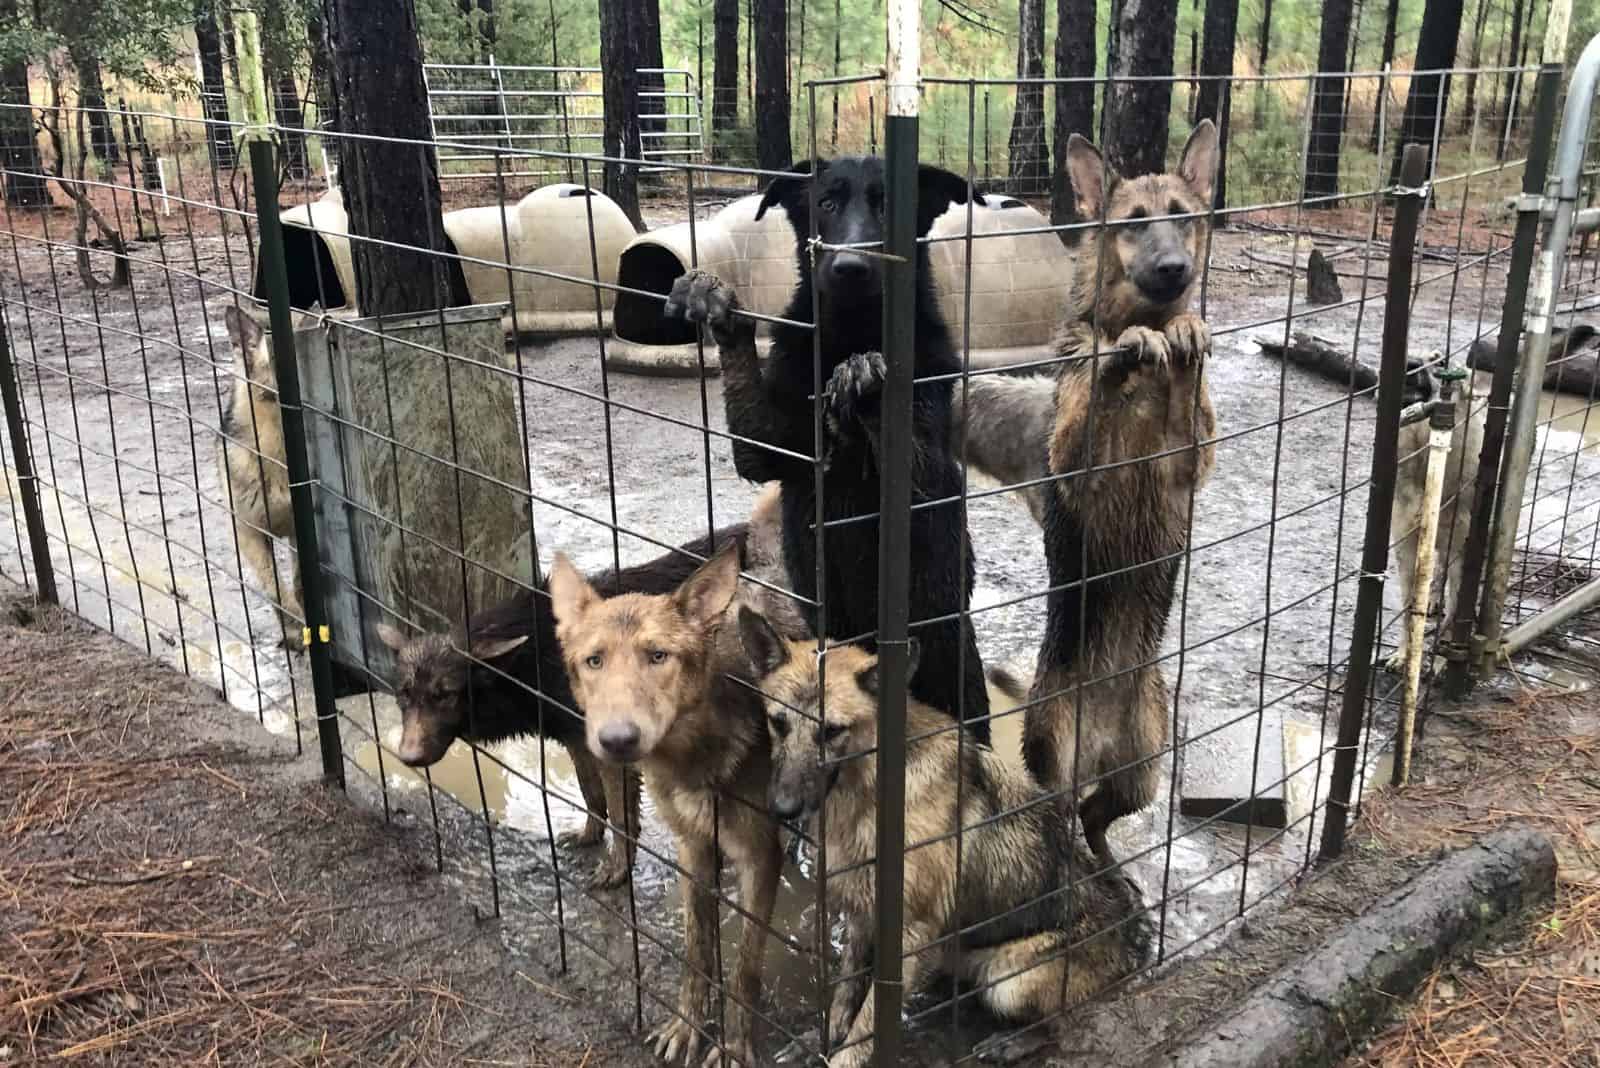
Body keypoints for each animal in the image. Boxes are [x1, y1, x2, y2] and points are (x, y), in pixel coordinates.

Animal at [547, 546, 777, 1068]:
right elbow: (697, 950)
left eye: (658, 656)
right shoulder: (693, 846)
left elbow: (746, 969)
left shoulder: (759, 859)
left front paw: (735, 1046)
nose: (617, 740)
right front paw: (688, 1026)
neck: (696, 757)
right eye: (594, 661)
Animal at [659, 158, 985, 741]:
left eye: (888, 204)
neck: (851, 329)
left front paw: (867, 382)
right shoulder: (767, 447)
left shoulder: (928, 474)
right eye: (826, 204)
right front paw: (718, 305)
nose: (851, 267)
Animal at [736, 607, 1152, 1068]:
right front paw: (822, 1040)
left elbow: (868, 1021)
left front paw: (843, 1057)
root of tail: (1132, 943)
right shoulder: (863, 917)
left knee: (1060, 1025)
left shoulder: (910, 933)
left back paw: (1011, 1042)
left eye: (831, 731)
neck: (871, 790)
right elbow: (845, 996)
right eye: (778, 723)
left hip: (1009, 981)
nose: (782, 808)